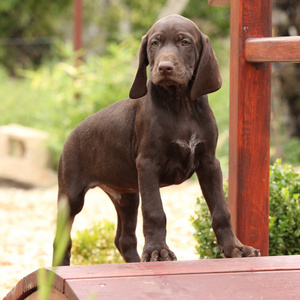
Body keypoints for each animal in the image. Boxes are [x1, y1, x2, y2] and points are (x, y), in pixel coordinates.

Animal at [54, 15, 260, 266]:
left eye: (184, 42)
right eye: (154, 44)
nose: (164, 67)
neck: (180, 104)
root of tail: (71, 134)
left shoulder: (209, 163)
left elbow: (221, 209)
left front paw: (235, 248)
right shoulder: (148, 164)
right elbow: (155, 211)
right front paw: (157, 251)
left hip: (127, 195)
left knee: (123, 239)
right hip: (71, 196)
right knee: (62, 240)